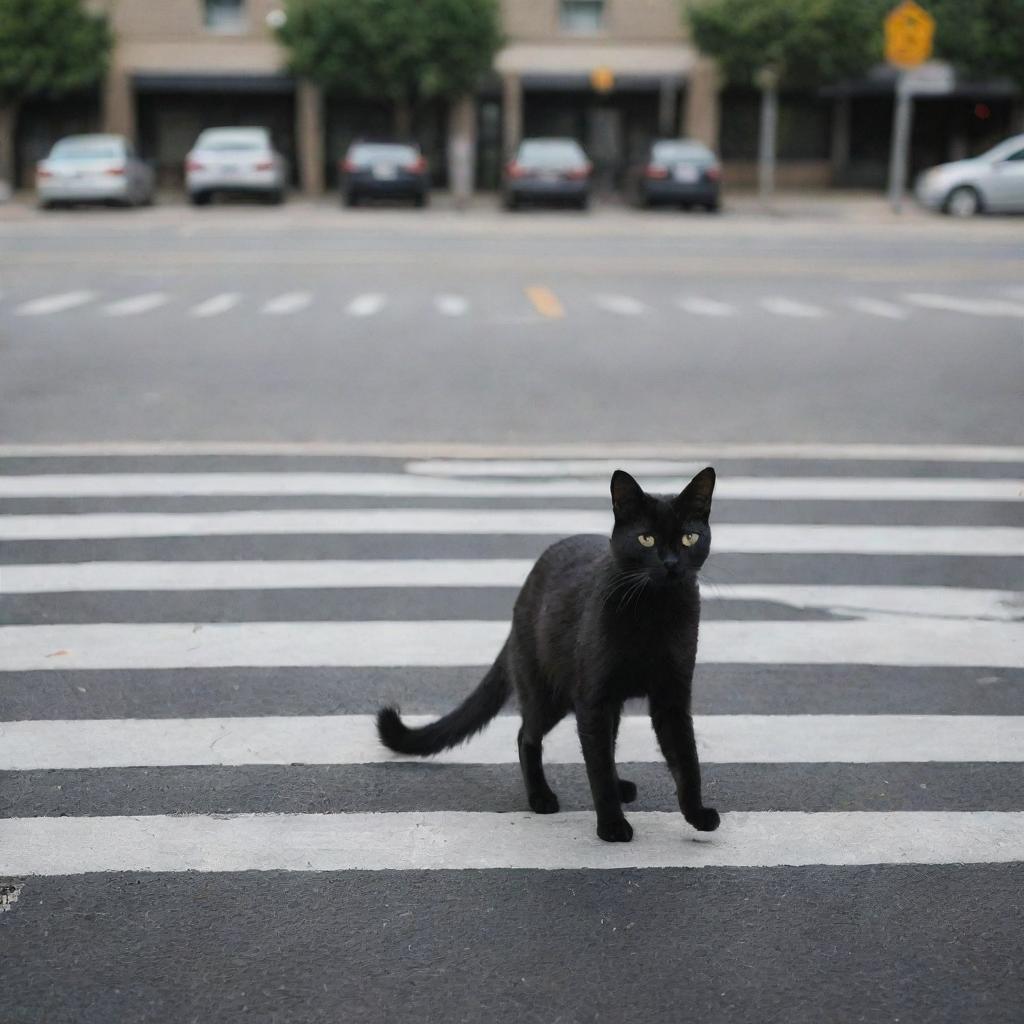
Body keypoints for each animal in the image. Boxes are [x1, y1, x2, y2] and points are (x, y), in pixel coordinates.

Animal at [376, 468, 720, 843]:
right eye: (646, 539)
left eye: (688, 538)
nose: (671, 565)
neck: (655, 611)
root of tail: (525, 589)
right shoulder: (593, 698)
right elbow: (597, 768)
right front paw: (612, 826)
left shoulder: (672, 697)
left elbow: (686, 759)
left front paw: (698, 814)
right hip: (549, 692)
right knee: (527, 735)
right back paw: (540, 797)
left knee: (603, 742)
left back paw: (619, 786)